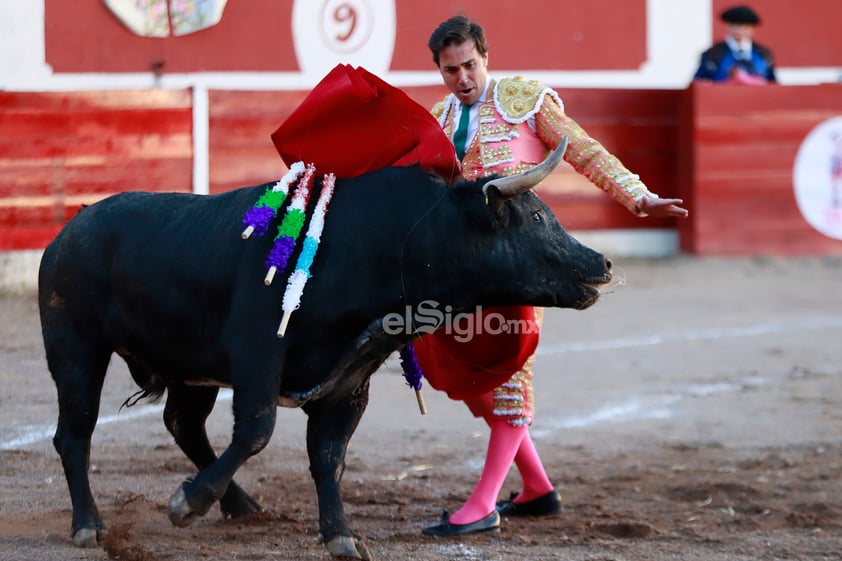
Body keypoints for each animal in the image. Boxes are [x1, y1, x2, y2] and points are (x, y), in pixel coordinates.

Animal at [39, 139, 612, 556]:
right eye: (536, 218)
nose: (601, 263)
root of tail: (71, 226)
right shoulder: (257, 354)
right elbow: (257, 430)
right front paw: (186, 503)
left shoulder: (350, 380)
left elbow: (328, 457)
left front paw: (340, 535)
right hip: (76, 348)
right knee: (75, 433)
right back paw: (90, 525)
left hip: (190, 366)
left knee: (182, 423)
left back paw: (239, 504)